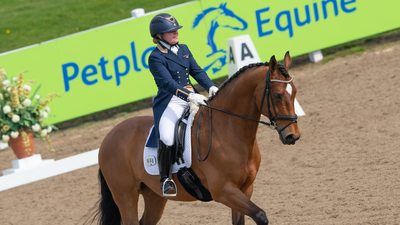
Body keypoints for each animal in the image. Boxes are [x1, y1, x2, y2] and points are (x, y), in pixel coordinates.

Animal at [94, 51, 300, 225]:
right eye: (278, 95)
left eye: (295, 92)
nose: (293, 136)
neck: (227, 132)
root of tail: (109, 137)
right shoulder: (223, 191)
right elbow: (260, 215)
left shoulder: (245, 189)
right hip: (125, 196)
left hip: (154, 196)